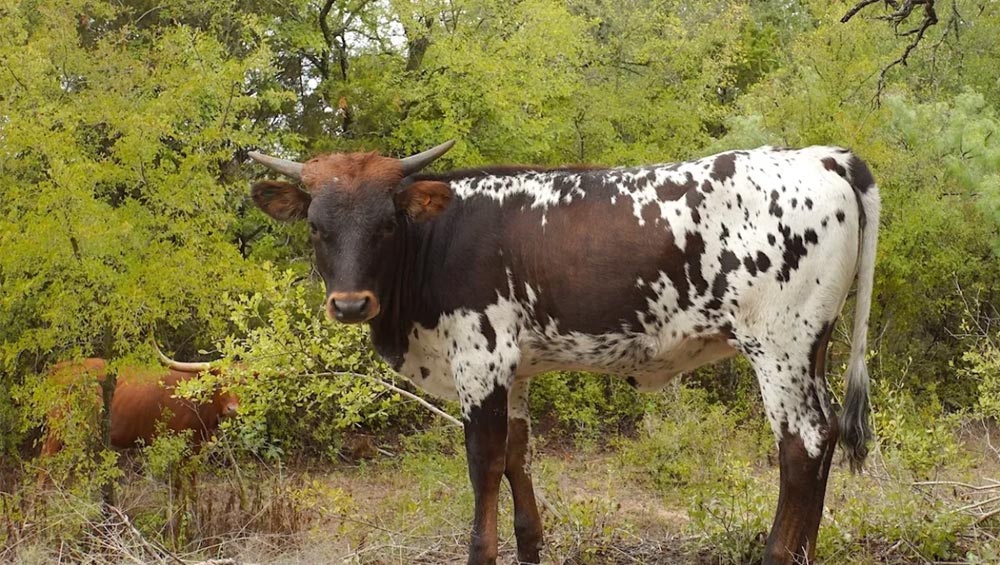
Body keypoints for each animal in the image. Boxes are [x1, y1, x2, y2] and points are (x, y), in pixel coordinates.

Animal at [252, 142, 884, 564]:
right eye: (316, 226)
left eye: (386, 224)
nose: (350, 304)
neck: (437, 240)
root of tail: (825, 156)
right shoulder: (515, 370)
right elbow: (517, 456)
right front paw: (530, 543)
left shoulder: (480, 359)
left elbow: (484, 463)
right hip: (811, 347)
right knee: (825, 438)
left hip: (777, 344)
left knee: (802, 445)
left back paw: (779, 552)